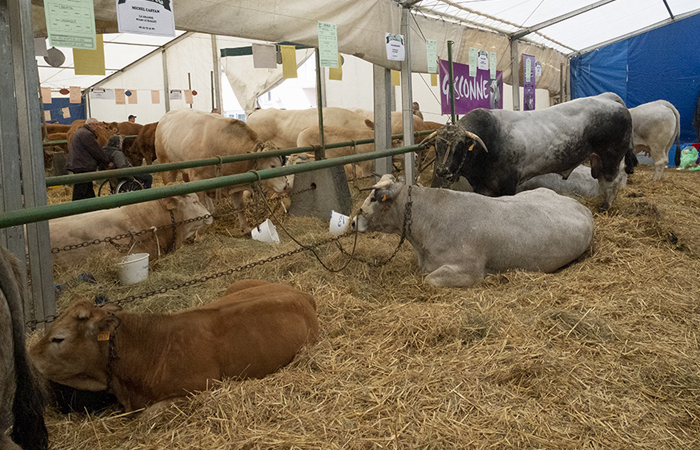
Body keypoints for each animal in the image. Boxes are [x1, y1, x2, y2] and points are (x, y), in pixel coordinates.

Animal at [155, 109, 292, 234]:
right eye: (272, 165)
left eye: (281, 162)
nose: (285, 186)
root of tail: (166, 116)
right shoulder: (197, 179)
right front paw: (199, 235)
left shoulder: (236, 183)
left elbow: (240, 207)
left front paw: (246, 229)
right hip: (166, 165)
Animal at [426, 92, 634, 212]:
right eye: (436, 147)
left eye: (460, 146)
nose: (442, 171)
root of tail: (610, 99)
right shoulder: (482, 187)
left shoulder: (508, 185)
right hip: (599, 159)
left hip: (612, 156)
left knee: (613, 180)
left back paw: (605, 206)